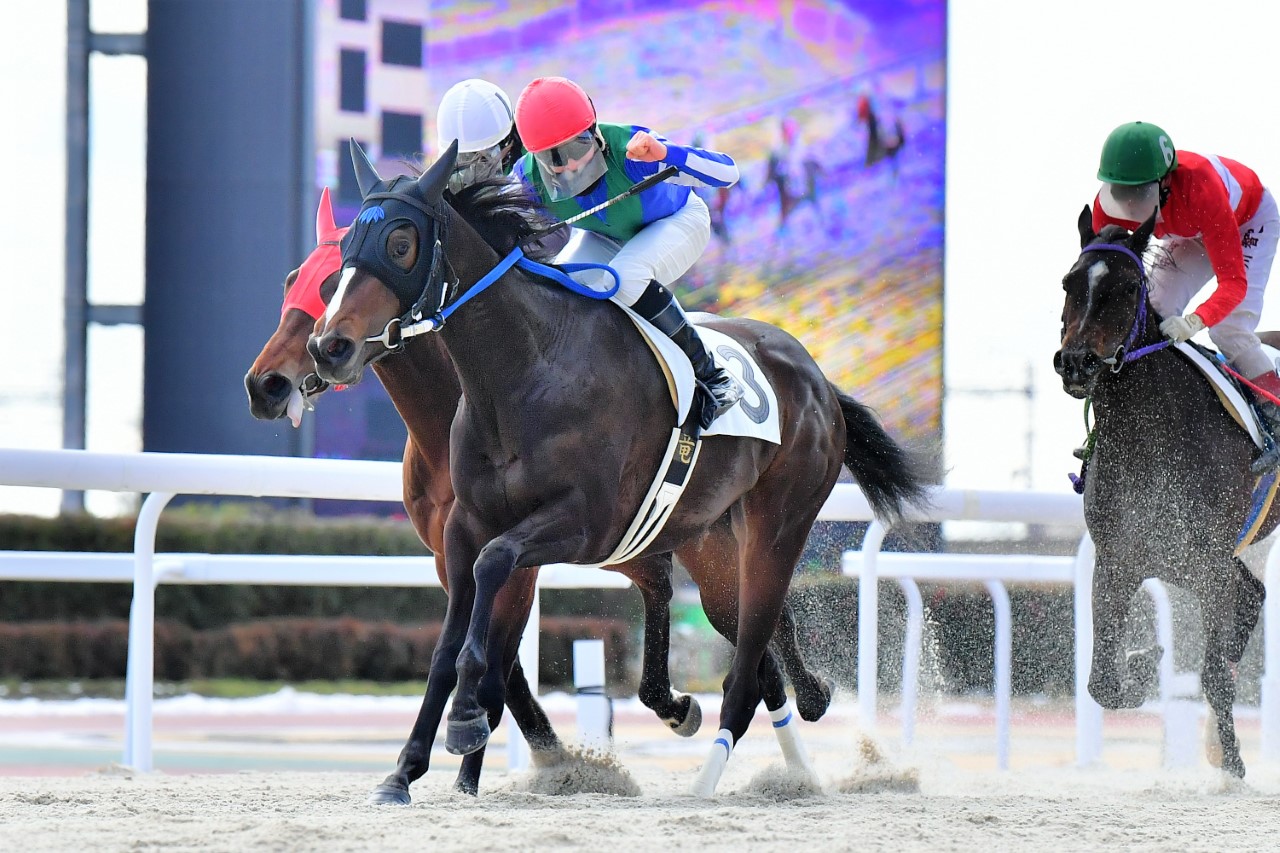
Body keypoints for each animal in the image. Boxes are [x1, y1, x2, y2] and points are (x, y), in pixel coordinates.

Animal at [306, 140, 929, 795]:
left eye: (401, 242)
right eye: (346, 251)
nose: (329, 347)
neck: (525, 371)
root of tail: (819, 381)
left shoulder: (584, 525)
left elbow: (495, 568)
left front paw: (468, 718)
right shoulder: (463, 525)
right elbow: (448, 644)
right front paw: (404, 770)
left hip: (778, 527)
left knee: (746, 669)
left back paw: (710, 780)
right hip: (705, 536)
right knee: (749, 642)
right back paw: (793, 723)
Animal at [1054, 206, 1270, 778]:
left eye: (1130, 288)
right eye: (1069, 284)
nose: (1077, 362)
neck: (1150, 434)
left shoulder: (1210, 564)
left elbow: (1214, 674)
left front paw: (1233, 767)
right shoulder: (1120, 559)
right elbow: (1102, 683)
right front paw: (1142, 662)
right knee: (1253, 594)